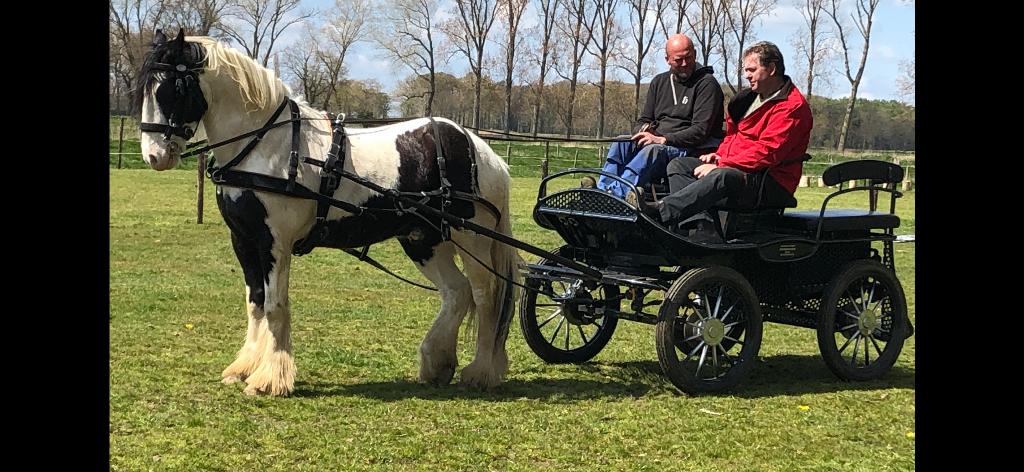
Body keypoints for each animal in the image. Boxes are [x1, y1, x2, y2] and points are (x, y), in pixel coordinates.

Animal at [134, 29, 519, 396]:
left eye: (172, 88)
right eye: (145, 89)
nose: (154, 156)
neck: (265, 145)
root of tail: (481, 149)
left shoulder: (276, 243)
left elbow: (275, 306)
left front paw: (270, 379)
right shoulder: (243, 240)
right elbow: (254, 303)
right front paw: (244, 368)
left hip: (472, 237)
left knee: (485, 295)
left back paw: (481, 372)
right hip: (424, 241)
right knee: (456, 292)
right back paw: (436, 363)